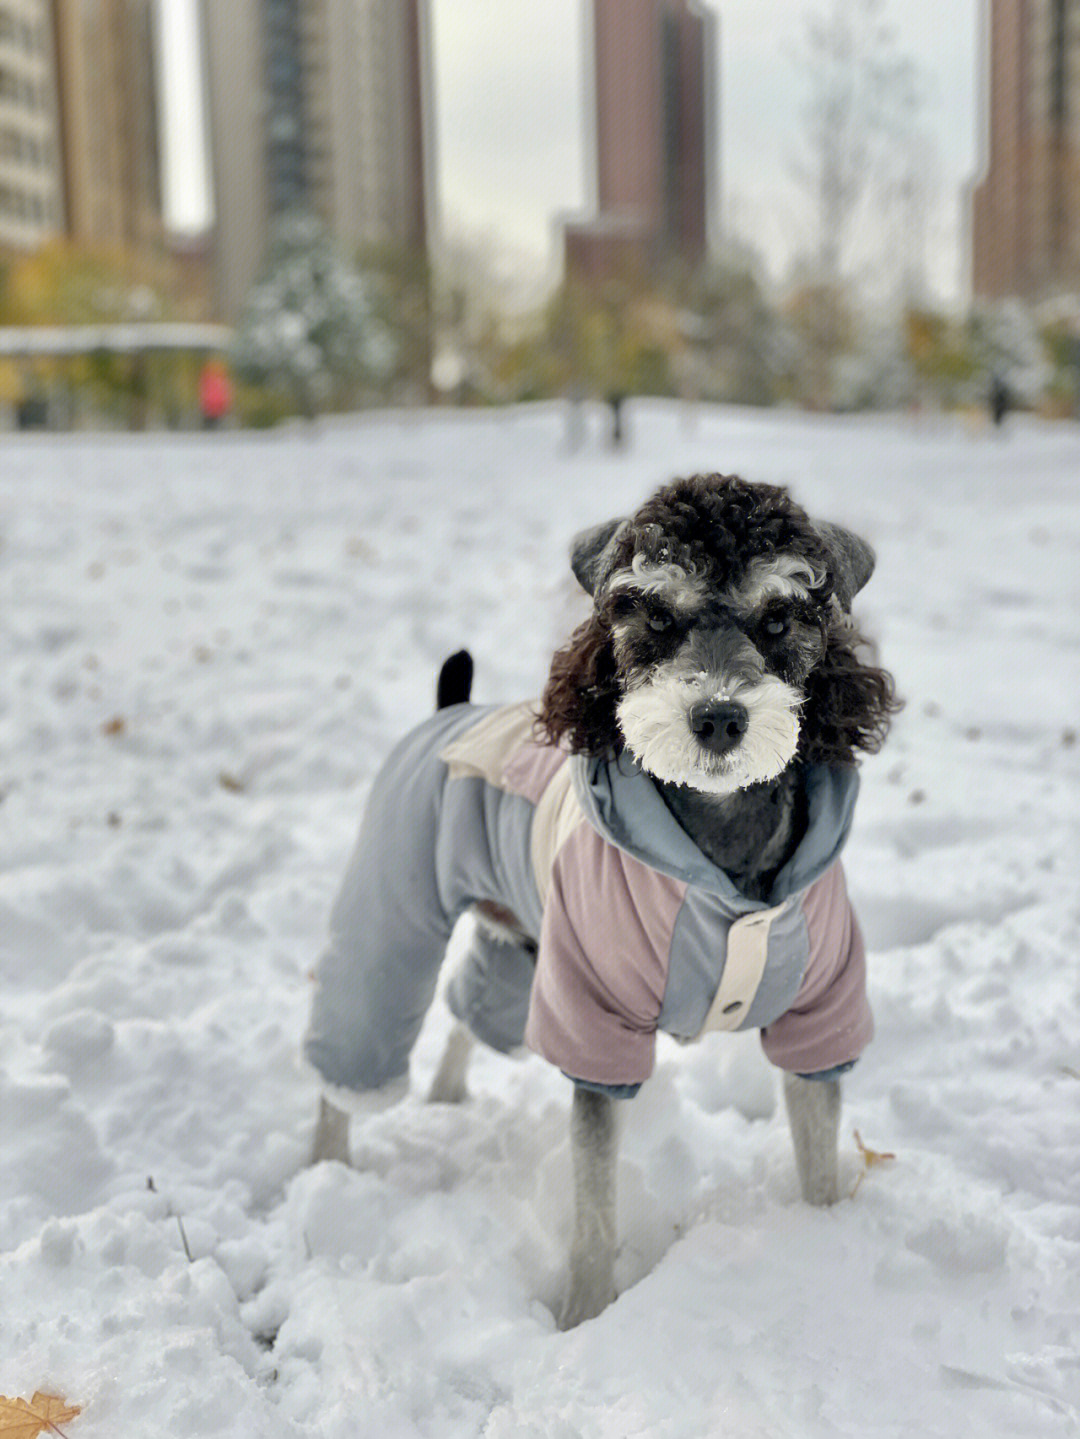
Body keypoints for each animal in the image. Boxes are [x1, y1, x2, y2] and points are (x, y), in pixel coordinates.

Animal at [304, 471, 897, 1323]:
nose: (718, 717)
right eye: (655, 612)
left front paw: (822, 1253)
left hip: (520, 950)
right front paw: (584, 1313)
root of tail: (451, 710)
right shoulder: (593, 1027)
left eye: (781, 616)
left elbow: (817, 1161)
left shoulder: (819, 1018)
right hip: (392, 916)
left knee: (468, 1010)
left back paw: (446, 1100)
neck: (718, 840)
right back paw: (324, 1172)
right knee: (352, 1048)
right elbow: (594, 1206)